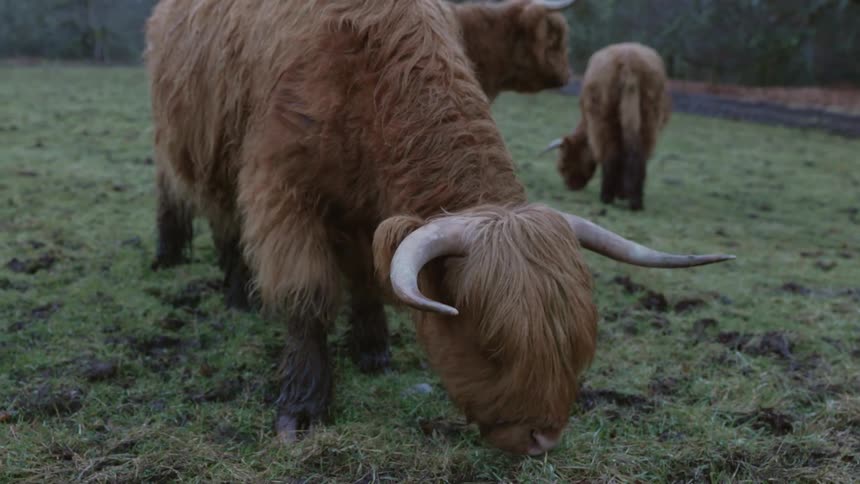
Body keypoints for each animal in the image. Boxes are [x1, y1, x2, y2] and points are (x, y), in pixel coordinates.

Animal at [542, 42, 672, 211]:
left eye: (563, 163)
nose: (570, 186)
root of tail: (628, 62)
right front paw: (623, 193)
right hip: (648, 117)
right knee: (638, 154)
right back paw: (635, 202)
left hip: (603, 118)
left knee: (611, 154)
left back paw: (607, 197)